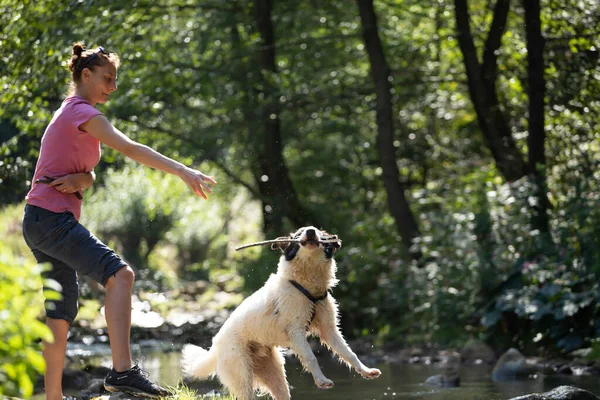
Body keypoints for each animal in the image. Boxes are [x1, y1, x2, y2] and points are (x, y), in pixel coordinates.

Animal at [180, 227, 382, 398]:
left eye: (318, 231)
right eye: (298, 234)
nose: (310, 231)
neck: (308, 289)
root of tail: (214, 348)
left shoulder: (329, 329)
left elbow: (349, 353)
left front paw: (366, 371)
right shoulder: (296, 331)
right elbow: (311, 357)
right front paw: (322, 381)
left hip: (275, 375)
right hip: (242, 374)